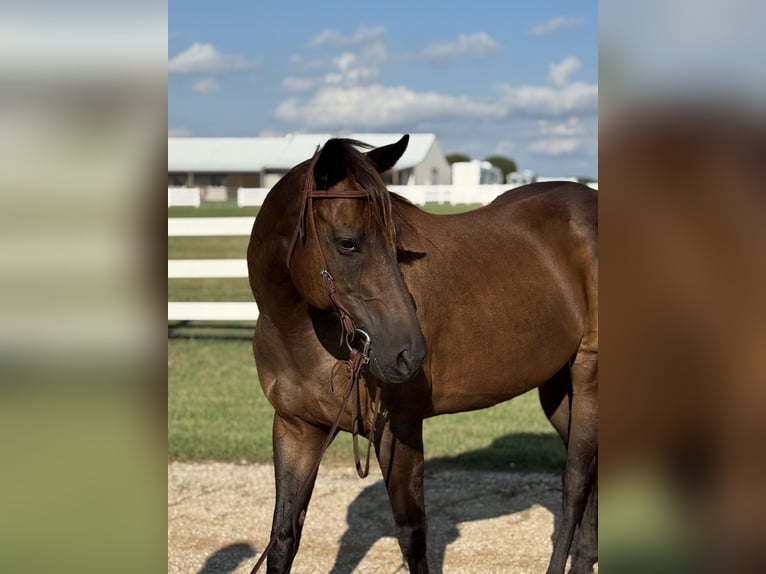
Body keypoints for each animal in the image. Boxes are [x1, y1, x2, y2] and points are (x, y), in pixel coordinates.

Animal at [247, 135, 598, 574]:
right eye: (347, 242)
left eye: (397, 244)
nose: (409, 355)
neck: (302, 333)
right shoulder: (296, 428)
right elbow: (283, 538)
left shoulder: (399, 429)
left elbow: (412, 536)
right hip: (556, 388)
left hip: (589, 374)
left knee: (576, 481)